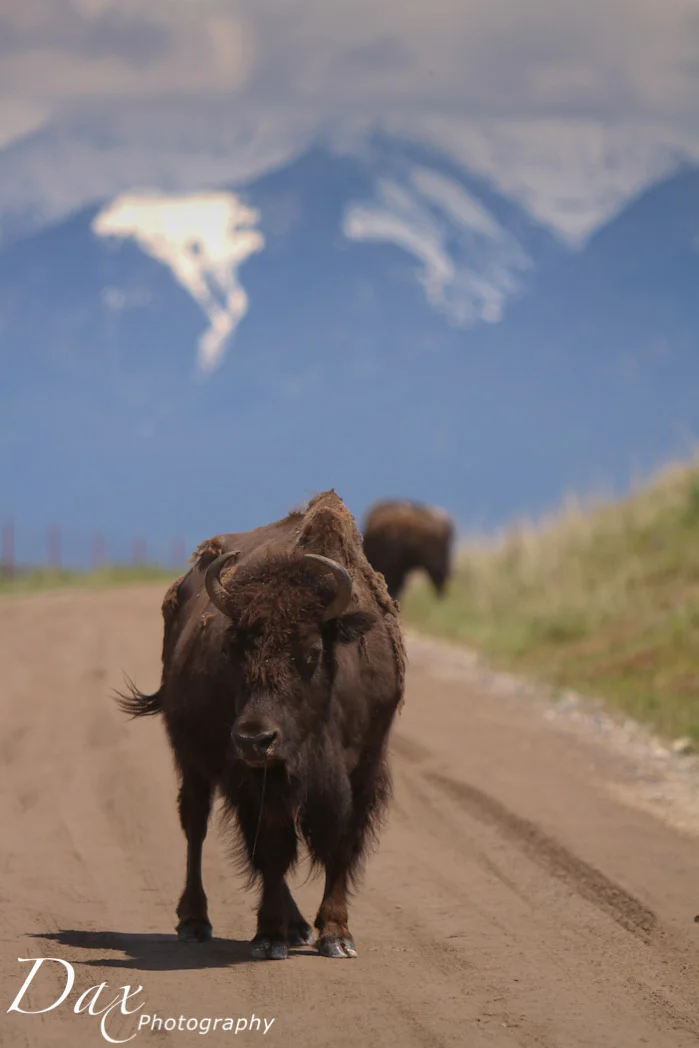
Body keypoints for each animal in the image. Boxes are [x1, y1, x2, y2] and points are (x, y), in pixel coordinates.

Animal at [118, 490, 406, 960]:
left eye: (310, 652)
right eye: (233, 648)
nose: (255, 738)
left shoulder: (363, 769)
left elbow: (340, 845)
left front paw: (336, 935)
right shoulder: (258, 779)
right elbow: (272, 849)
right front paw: (269, 936)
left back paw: (299, 926)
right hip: (191, 759)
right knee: (195, 824)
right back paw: (195, 921)